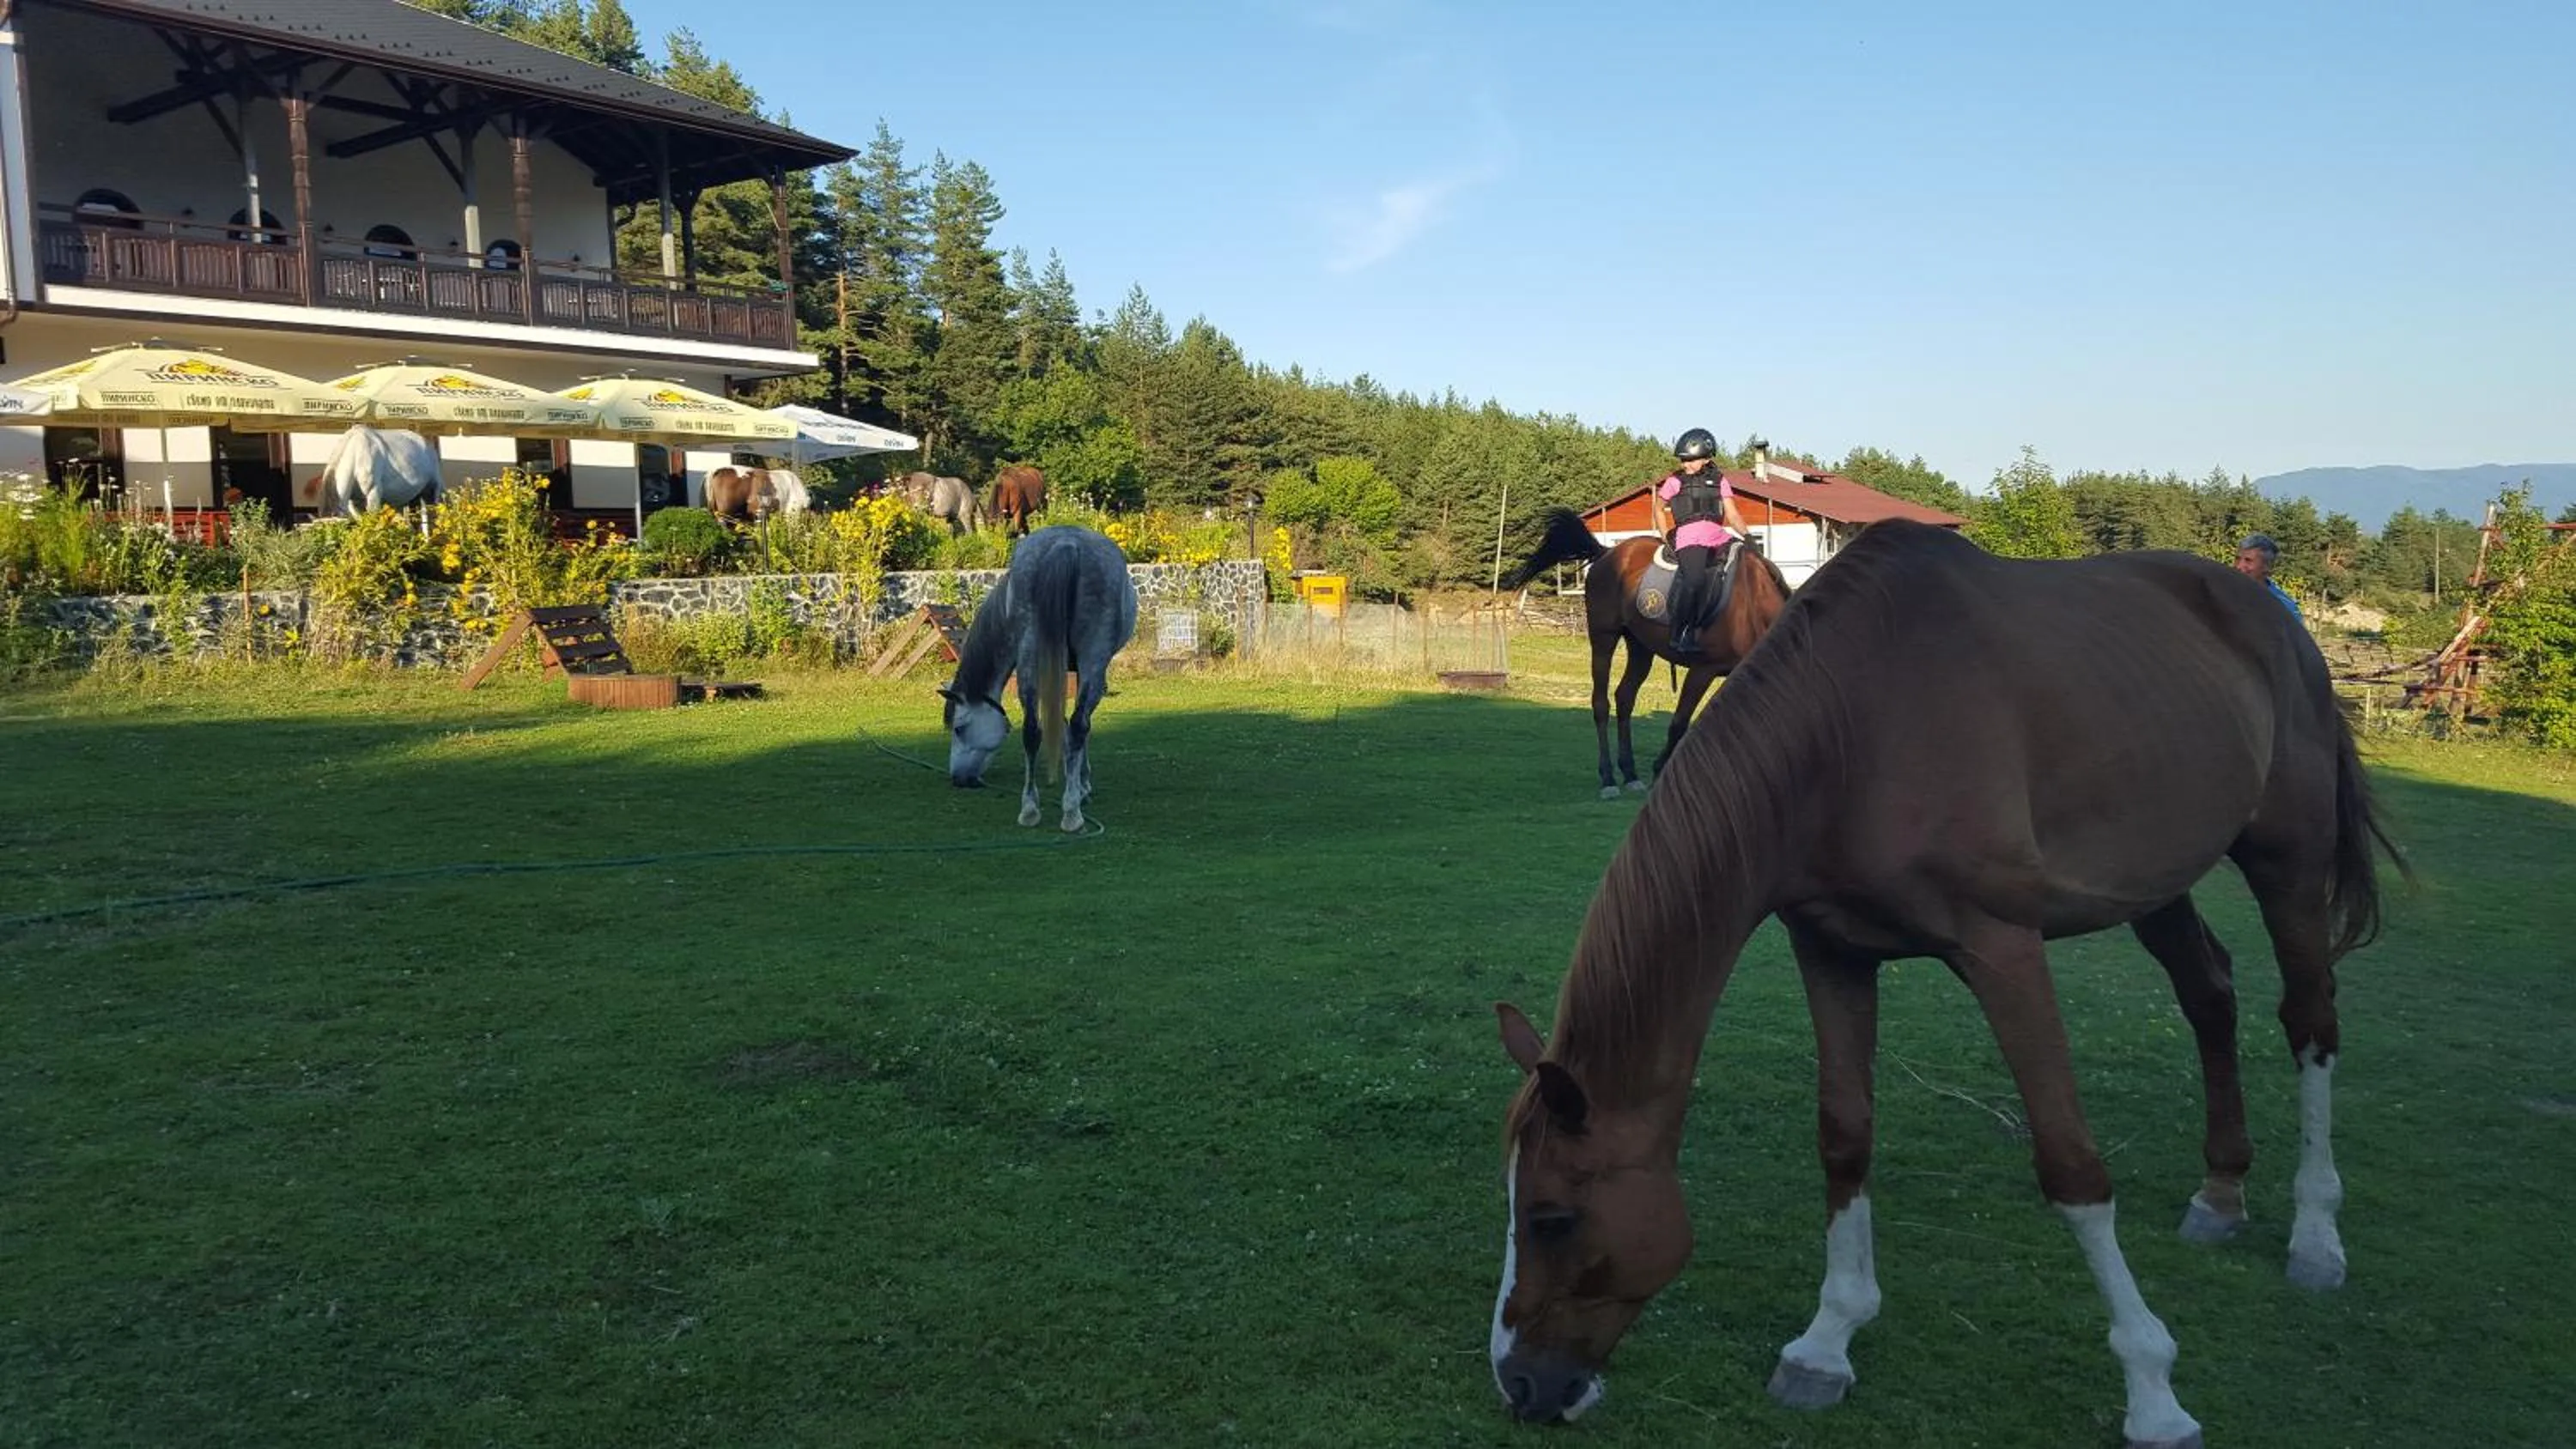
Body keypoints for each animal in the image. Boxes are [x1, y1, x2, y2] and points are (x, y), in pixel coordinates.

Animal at [937, 524, 1139, 832]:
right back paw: (1071, 811)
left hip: (1032, 655)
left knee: (1032, 728)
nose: (958, 779)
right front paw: (1082, 786)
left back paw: (1030, 809)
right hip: (1092, 657)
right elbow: (1077, 728)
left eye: (959, 729)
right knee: (1078, 725)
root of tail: (1066, 543)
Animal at [1503, 507, 1794, 797]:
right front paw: (1659, 771)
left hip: (1640, 647)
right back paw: (1608, 778)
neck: (1750, 607)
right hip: (1604, 638)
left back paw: (1630, 773)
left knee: (1624, 698)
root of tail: (1607, 552)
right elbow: (1679, 724)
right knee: (1601, 703)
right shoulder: (1703, 671)